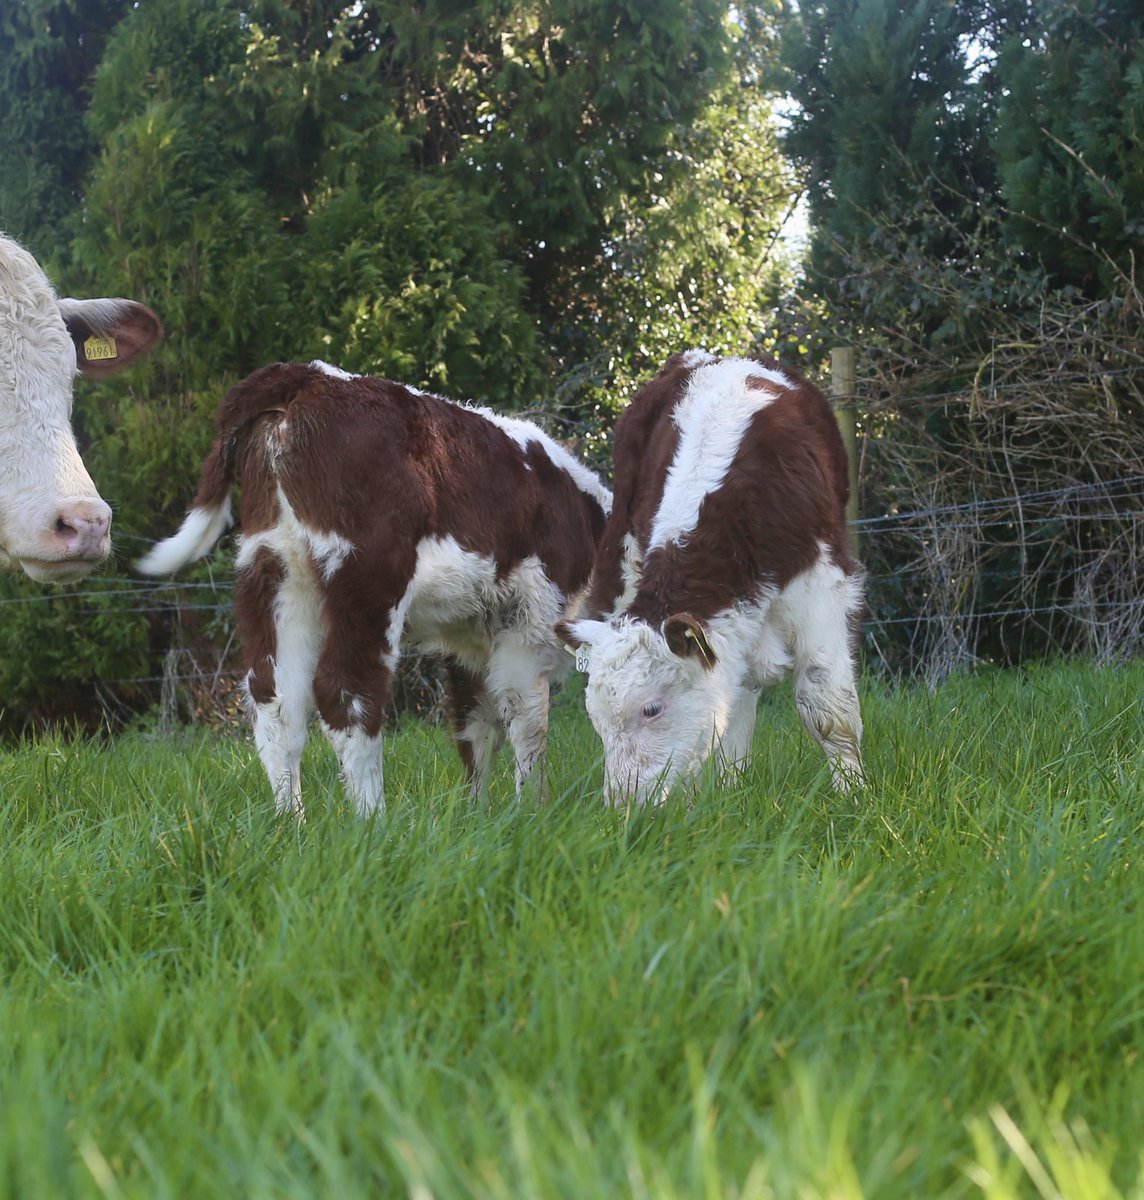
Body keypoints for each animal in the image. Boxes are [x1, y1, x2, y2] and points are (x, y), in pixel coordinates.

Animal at [137, 360, 612, 817]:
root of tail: (306, 376)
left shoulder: (471, 638)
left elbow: (474, 725)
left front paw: (477, 815)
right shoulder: (530, 623)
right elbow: (527, 720)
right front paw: (532, 810)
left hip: (274, 571)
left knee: (276, 702)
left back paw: (290, 822)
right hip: (366, 575)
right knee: (347, 692)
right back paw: (372, 819)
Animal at [556, 349, 865, 805]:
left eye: (652, 708)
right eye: (596, 719)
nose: (623, 805)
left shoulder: (821, 584)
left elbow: (827, 706)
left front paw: (855, 798)